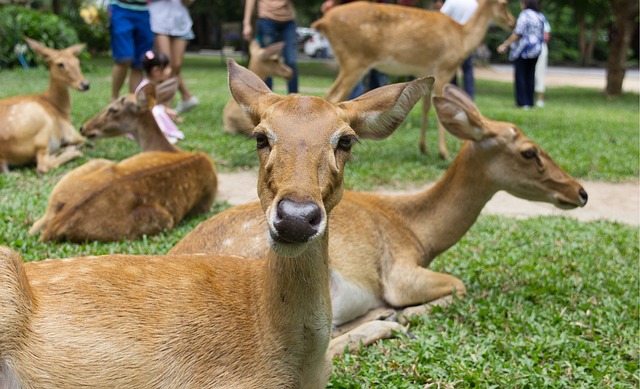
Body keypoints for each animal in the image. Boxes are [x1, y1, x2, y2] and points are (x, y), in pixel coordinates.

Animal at [0, 38, 89, 174]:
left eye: (77, 61)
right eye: (60, 64)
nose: (85, 84)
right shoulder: (71, 132)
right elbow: (84, 140)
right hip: (41, 127)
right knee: (43, 166)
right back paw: (71, 152)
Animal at [170, 83, 592, 354]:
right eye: (529, 152)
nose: (580, 192)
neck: (418, 233)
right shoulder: (399, 272)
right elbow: (458, 287)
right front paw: (405, 313)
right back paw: (385, 322)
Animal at [312, 0, 516, 159]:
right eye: (504, 3)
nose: (513, 22)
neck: (462, 38)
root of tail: (323, 21)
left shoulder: (426, 72)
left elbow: (425, 105)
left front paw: (423, 148)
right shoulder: (444, 68)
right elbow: (438, 106)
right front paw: (444, 153)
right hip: (355, 59)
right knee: (335, 93)